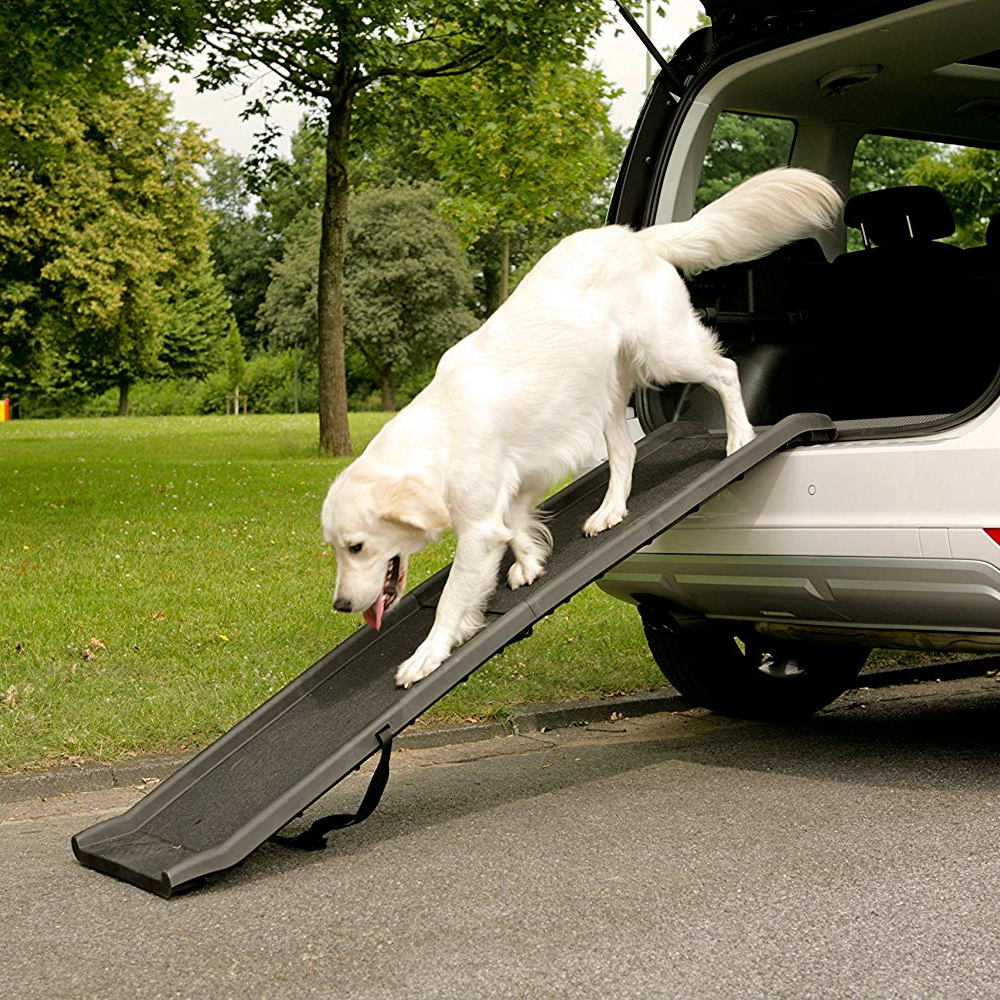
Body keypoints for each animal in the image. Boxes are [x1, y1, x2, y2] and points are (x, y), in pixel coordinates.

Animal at [324, 170, 840, 688]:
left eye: (356, 546)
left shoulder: (478, 525)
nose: (341, 605)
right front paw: (530, 561)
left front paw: (426, 656)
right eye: (335, 549)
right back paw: (610, 510)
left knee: (726, 371)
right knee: (626, 452)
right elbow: (517, 522)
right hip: (605, 389)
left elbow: (453, 596)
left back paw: (737, 438)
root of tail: (635, 238)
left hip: (665, 351)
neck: (440, 431)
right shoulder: (523, 472)